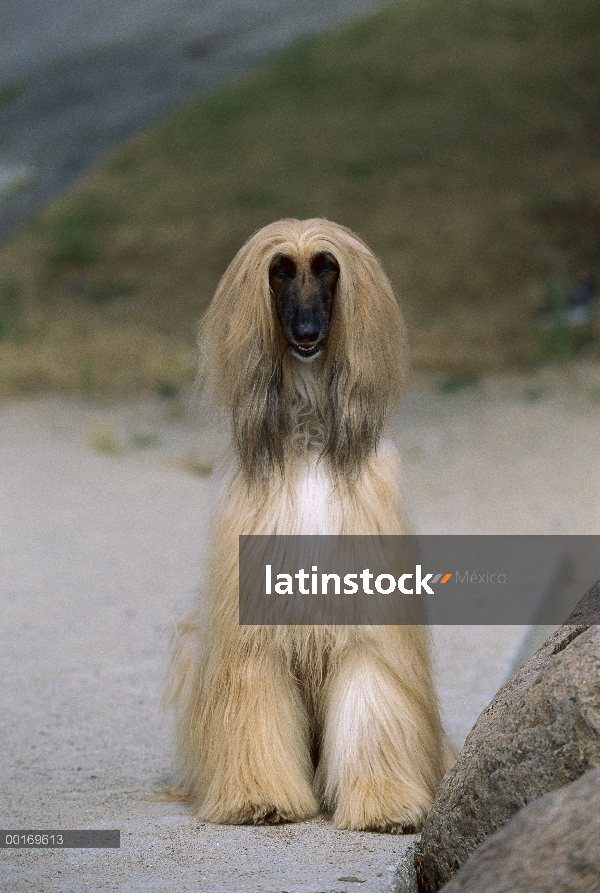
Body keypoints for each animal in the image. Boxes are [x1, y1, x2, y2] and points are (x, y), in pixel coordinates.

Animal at [166, 216, 448, 828]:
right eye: (279, 270)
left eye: (326, 267)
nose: (306, 332)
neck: (310, 432)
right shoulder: (252, 625)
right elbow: (257, 701)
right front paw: (260, 797)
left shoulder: (367, 617)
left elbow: (370, 698)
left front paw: (384, 802)